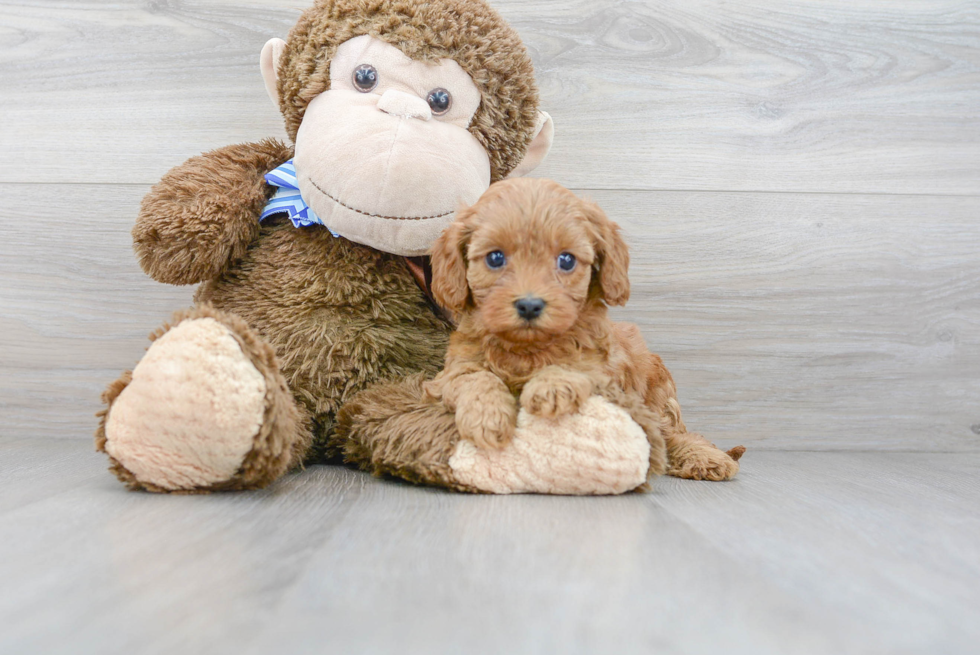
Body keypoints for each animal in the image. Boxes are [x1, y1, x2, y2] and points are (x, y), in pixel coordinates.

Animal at [424, 179, 744, 482]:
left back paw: (706, 459)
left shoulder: (606, 373)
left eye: (566, 260)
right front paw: (487, 418)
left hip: (658, 399)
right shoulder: (453, 370)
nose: (529, 305)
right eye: (495, 258)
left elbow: (577, 364)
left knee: (674, 434)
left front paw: (552, 386)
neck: (528, 348)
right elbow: (474, 378)